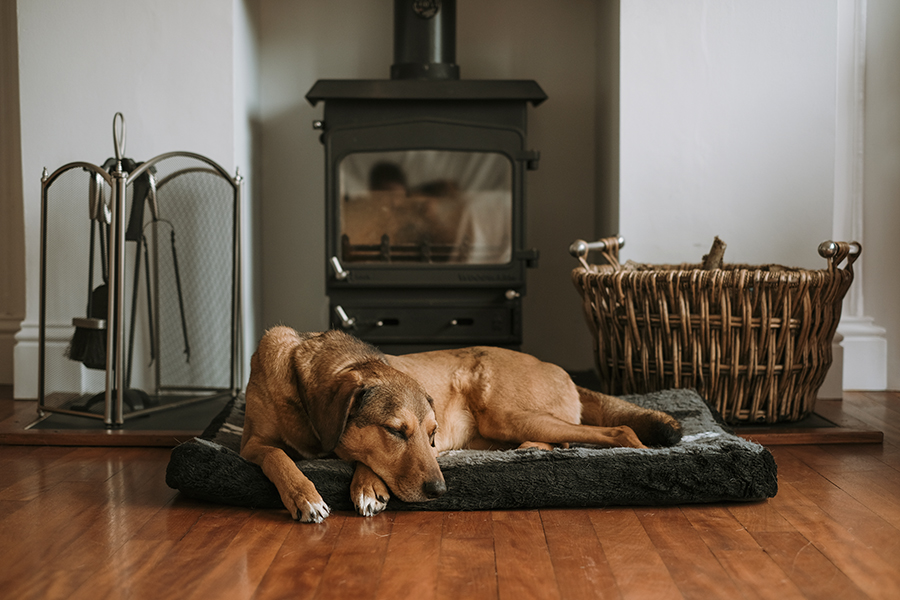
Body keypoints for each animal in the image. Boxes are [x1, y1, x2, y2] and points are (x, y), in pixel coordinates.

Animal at [239, 326, 684, 524]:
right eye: (396, 431)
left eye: (432, 435)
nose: (439, 491)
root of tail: (565, 372)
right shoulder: (251, 444)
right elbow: (278, 455)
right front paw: (305, 495)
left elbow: (361, 459)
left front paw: (367, 486)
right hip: (501, 428)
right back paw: (535, 451)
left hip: (505, 414)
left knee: (620, 432)